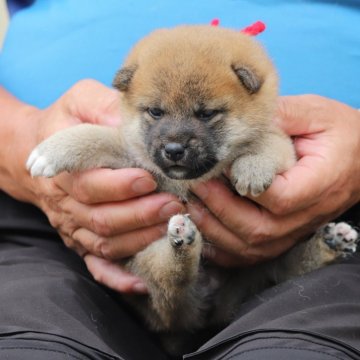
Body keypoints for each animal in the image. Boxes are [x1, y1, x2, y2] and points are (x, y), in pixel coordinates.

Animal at [26, 25, 358, 354]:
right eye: (156, 112)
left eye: (206, 114)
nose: (173, 149)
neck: (188, 180)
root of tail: (204, 312)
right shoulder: (133, 155)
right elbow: (95, 135)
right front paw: (51, 151)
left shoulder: (280, 142)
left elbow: (270, 144)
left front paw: (252, 168)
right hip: (147, 264)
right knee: (171, 282)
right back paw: (183, 242)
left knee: (287, 269)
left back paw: (331, 241)